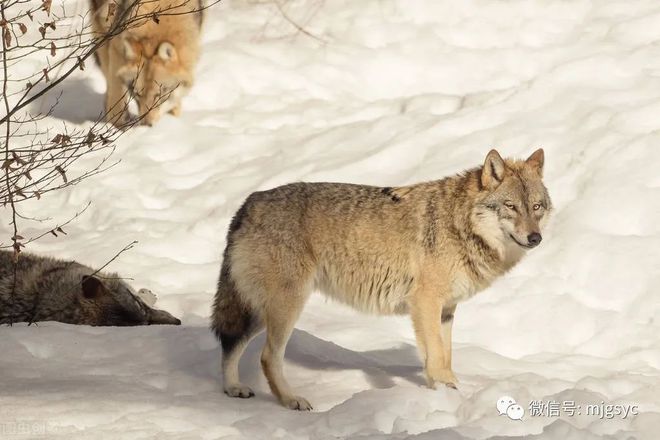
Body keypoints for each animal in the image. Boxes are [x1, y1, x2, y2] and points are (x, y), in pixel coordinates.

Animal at [211, 148, 552, 410]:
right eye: (511, 206)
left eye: (536, 206)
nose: (535, 238)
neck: (459, 224)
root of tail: (249, 203)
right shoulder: (425, 303)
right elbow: (437, 357)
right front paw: (445, 395)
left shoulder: (445, 310)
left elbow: (443, 357)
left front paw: (449, 394)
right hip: (287, 305)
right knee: (267, 357)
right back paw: (291, 400)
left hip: (258, 309)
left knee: (230, 344)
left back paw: (233, 388)